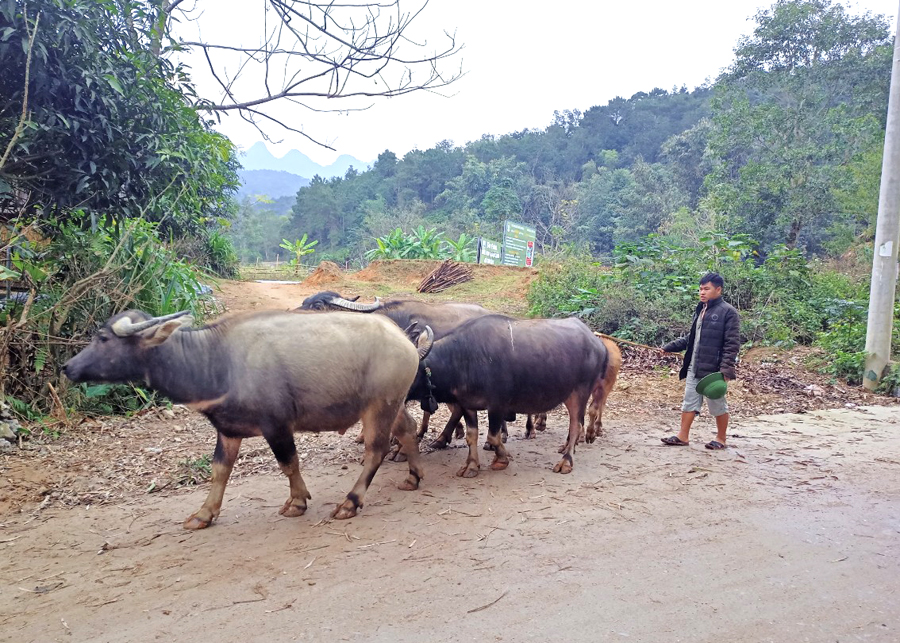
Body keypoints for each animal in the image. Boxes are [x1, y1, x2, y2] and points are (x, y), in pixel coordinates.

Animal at [60, 310, 432, 528]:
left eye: (103, 338)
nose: (67, 367)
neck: (216, 361)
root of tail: (405, 341)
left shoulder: (276, 424)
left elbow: (289, 463)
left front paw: (297, 501)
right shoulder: (227, 429)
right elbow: (219, 470)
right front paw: (204, 514)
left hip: (379, 406)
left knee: (375, 451)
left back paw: (350, 502)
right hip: (392, 404)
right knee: (408, 429)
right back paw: (414, 476)